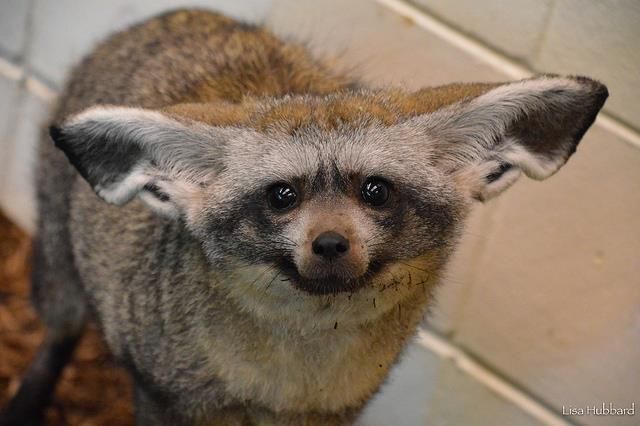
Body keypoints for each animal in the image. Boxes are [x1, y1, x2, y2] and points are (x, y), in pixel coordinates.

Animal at [1, 8, 607, 426]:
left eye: (375, 191)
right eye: (282, 196)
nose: (331, 243)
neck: (290, 379)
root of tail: (173, 14)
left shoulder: (338, 410)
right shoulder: (165, 395)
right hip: (59, 273)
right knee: (60, 332)